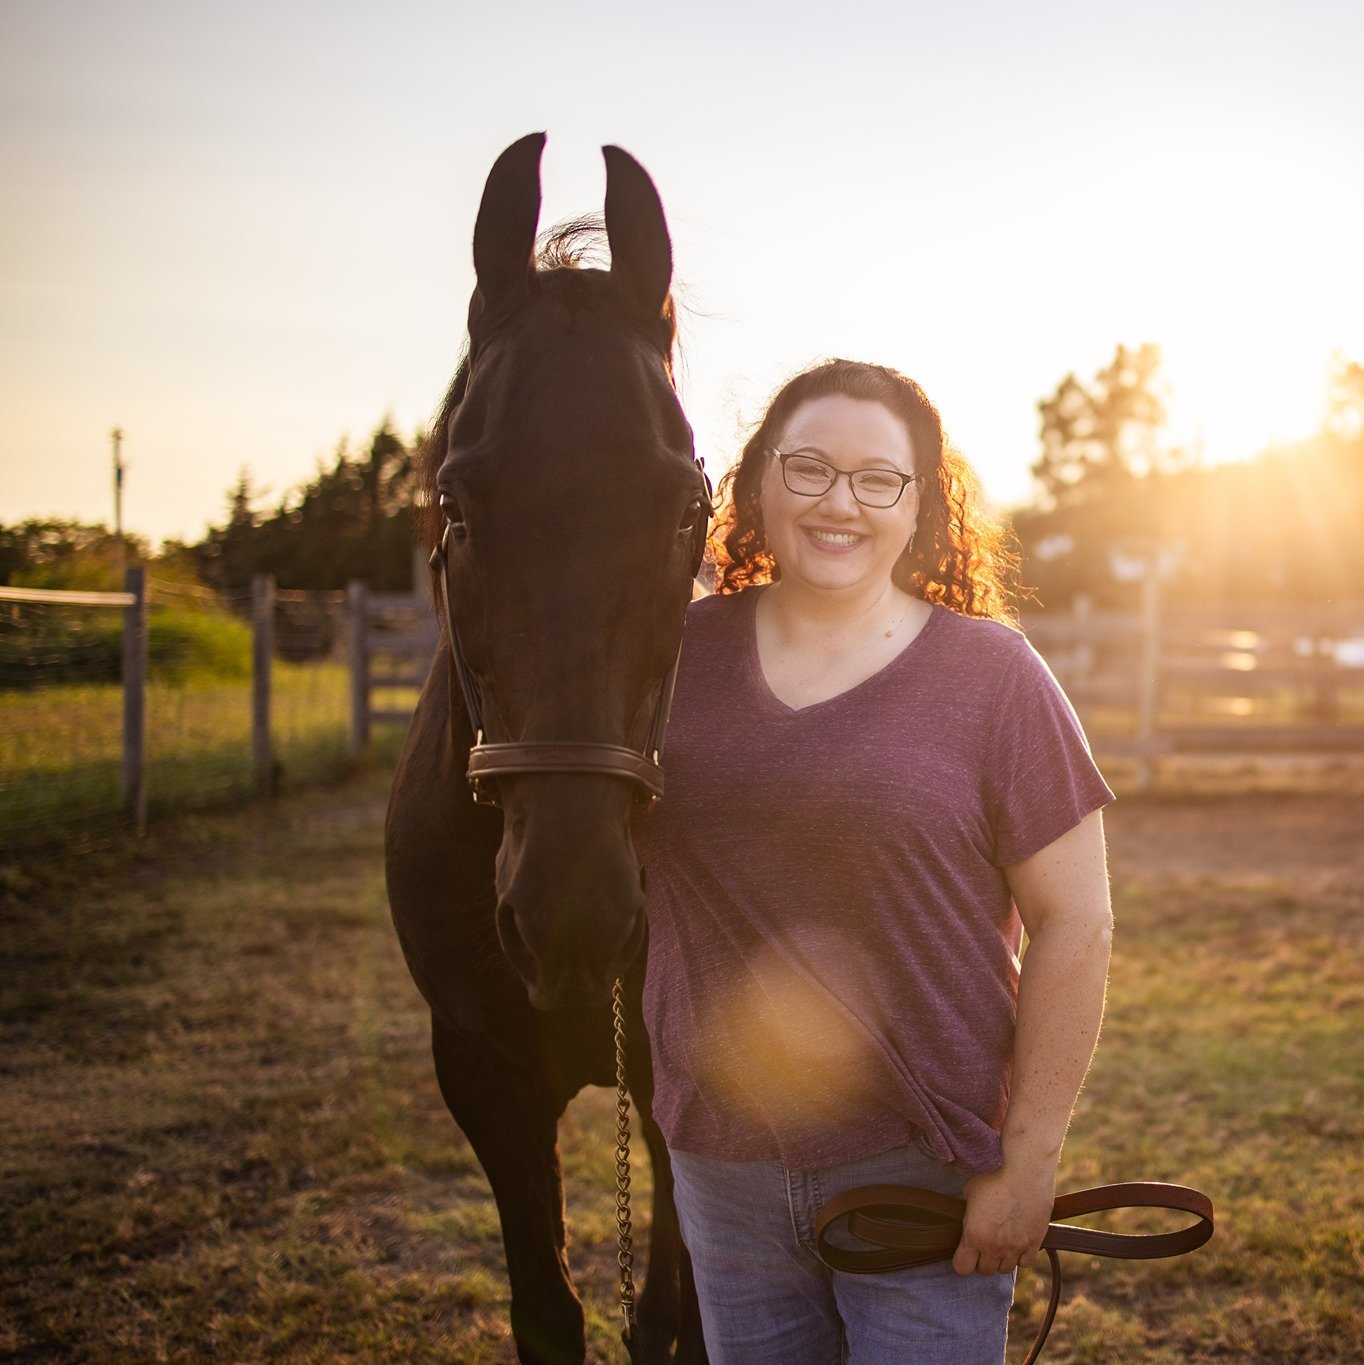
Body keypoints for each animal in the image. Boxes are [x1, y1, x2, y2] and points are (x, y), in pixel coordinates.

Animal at [385, 135, 704, 1365]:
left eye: (685, 507)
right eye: (455, 504)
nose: (571, 912)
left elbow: (675, 1318)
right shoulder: (483, 1073)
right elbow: (548, 1314)